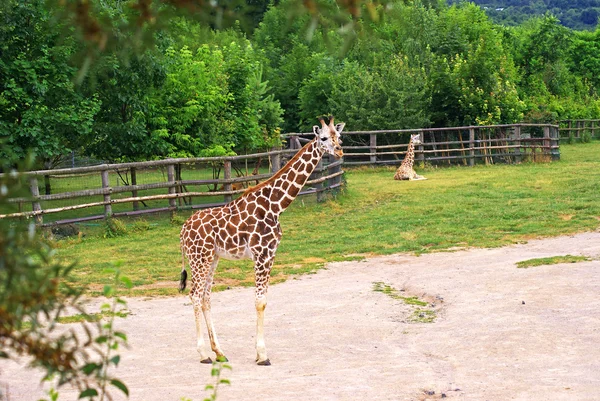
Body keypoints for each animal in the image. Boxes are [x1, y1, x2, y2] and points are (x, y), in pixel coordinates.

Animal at [180, 116, 344, 366]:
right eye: (324, 138)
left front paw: (259, 353)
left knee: (206, 297)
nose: (339, 151)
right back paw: (204, 354)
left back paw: (219, 352)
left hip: (212, 258)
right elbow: (259, 302)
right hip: (199, 258)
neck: (276, 206)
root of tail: (182, 231)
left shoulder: (271, 254)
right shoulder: (261, 253)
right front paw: (262, 355)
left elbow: (264, 299)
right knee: (195, 295)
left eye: (339, 136)